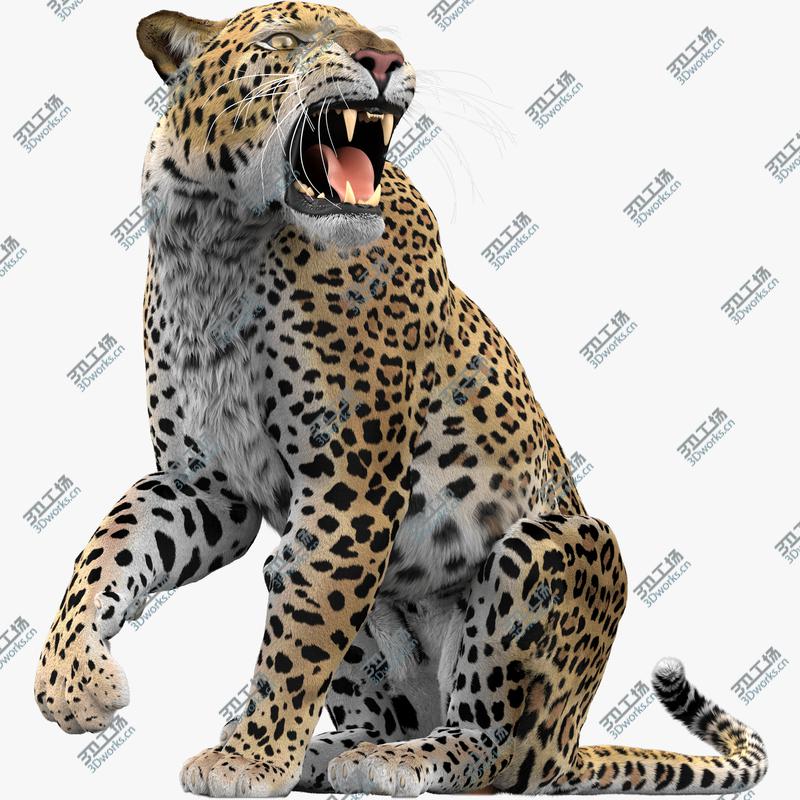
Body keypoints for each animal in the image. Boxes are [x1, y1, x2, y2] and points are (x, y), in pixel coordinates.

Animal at [33, 3, 767, 796]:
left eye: (370, 29)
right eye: (283, 41)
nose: (385, 58)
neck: (221, 240)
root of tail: (571, 743)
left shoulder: (349, 480)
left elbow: (301, 633)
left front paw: (250, 759)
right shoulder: (207, 483)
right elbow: (112, 544)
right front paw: (73, 683)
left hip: (555, 547)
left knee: (495, 746)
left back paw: (400, 759)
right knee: (372, 701)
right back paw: (331, 754)